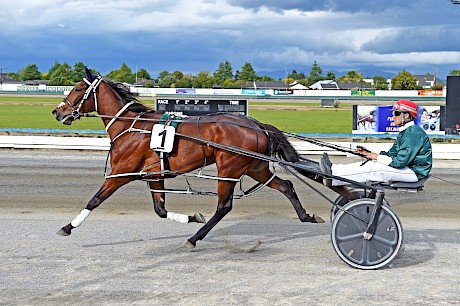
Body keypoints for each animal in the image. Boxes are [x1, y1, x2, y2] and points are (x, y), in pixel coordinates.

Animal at [52, 67, 332, 249]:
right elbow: (160, 210)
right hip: (255, 167)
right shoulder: (154, 175)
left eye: (78, 88)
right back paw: (307, 216)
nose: (57, 112)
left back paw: (194, 238)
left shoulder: (120, 173)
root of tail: (256, 124)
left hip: (229, 169)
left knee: (224, 207)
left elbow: (94, 200)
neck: (131, 126)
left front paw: (67, 227)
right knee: (286, 185)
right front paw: (191, 217)